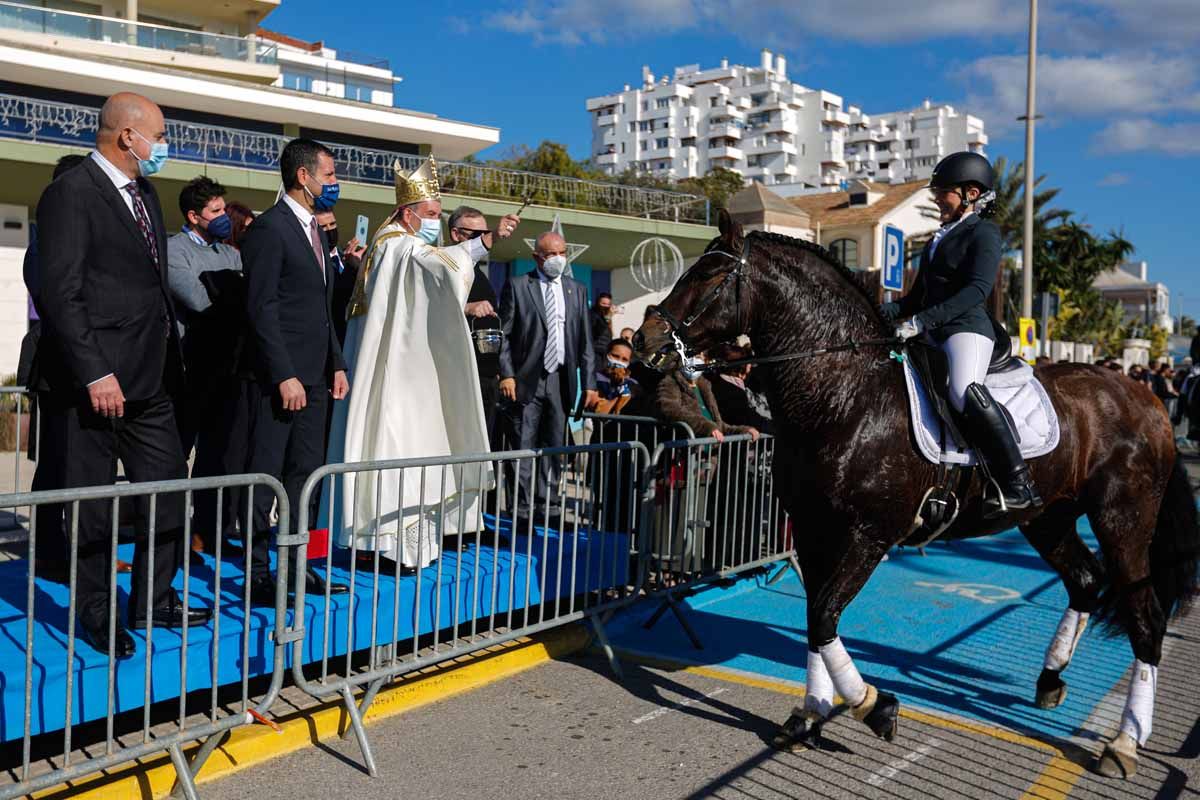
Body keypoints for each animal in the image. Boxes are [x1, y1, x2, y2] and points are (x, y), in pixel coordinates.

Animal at [633, 211, 1195, 777]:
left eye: (708, 274)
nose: (643, 338)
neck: (844, 393)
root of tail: (1146, 397)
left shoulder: (868, 534)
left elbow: (824, 615)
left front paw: (872, 706)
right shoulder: (813, 530)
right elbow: (816, 619)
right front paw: (810, 715)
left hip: (1123, 520)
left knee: (1144, 618)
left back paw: (1123, 743)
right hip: (1047, 517)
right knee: (1085, 581)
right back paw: (1050, 680)